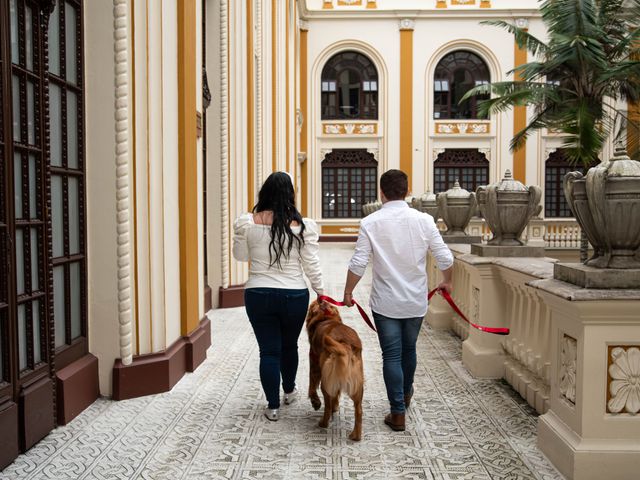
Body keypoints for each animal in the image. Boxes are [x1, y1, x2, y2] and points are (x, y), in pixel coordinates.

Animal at [306, 300, 362, 442]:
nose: (320, 298)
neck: (327, 318)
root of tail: (344, 344)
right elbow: (336, 395)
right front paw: (336, 406)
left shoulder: (314, 363)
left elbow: (311, 386)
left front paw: (315, 401)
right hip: (357, 385)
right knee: (358, 410)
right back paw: (356, 435)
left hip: (326, 382)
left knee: (327, 405)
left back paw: (323, 423)